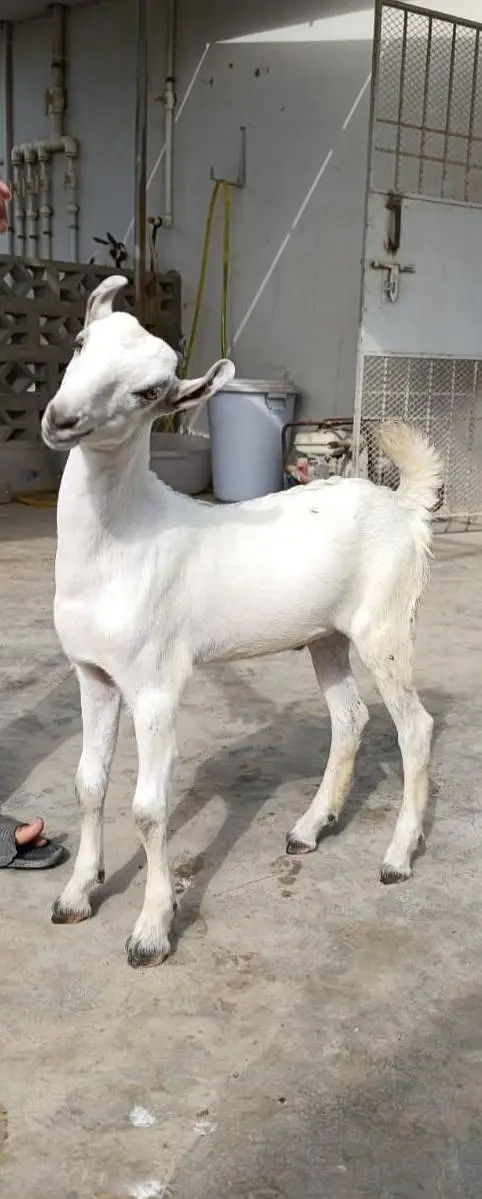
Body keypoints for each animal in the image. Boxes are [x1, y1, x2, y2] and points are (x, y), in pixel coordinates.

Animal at [42, 275, 443, 969]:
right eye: (81, 342)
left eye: (150, 391)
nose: (61, 420)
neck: (125, 538)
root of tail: (405, 506)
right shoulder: (93, 674)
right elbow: (88, 785)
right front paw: (75, 895)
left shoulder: (155, 683)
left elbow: (148, 808)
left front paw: (151, 931)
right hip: (326, 637)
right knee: (350, 718)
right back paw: (308, 829)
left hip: (386, 625)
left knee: (415, 727)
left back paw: (396, 858)